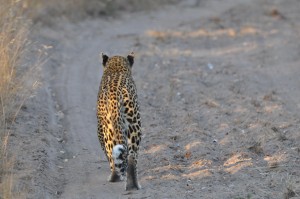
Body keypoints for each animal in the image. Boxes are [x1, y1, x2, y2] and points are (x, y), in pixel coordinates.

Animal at [96, 52, 142, 190]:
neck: (116, 68)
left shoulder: (100, 127)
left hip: (108, 127)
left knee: (113, 152)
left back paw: (114, 176)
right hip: (134, 123)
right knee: (132, 156)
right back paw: (133, 184)